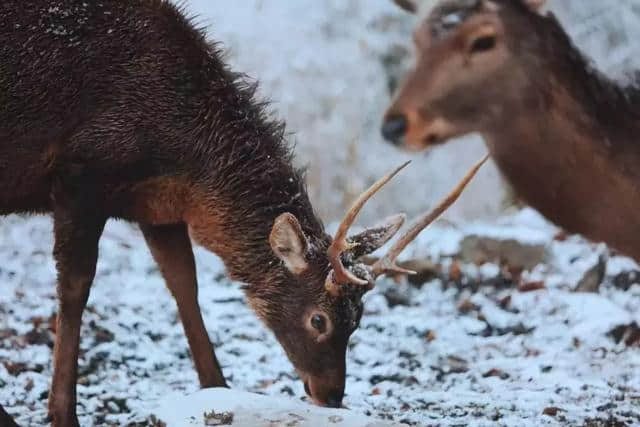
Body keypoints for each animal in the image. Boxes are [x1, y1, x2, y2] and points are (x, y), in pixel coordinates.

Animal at [0, 1, 488, 426]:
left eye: (359, 319)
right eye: (319, 319)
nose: (330, 395)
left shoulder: (157, 207)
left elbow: (184, 285)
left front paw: (216, 388)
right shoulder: (78, 178)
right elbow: (74, 291)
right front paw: (62, 414)